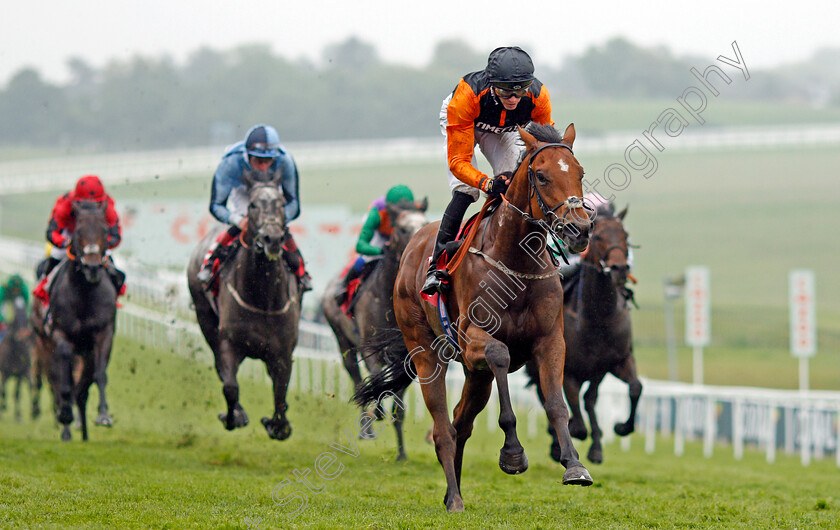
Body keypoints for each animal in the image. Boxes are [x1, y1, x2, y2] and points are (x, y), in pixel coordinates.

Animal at [44, 200, 118, 440]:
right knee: (62, 382)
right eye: (78, 231)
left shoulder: (104, 334)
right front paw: (65, 415)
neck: (84, 293)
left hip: (87, 354)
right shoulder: (60, 335)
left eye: (104, 230)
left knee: (83, 389)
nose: (92, 267)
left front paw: (103, 415)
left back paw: (83, 433)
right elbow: (64, 380)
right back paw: (67, 425)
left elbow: (100, 374)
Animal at [187, 170, 302, 442]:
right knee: (220, 367)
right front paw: (233, 417)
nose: (272, 238)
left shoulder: (283, 352)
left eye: (282, 203)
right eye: (252, 205)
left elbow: (280, 393)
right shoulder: (230, 342)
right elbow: (230, 386)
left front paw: (277, 425)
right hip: (205, 317)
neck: (263, 297)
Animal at [320, 198, 426, 458]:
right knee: (357, 378)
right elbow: (376, 378)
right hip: (342, 340)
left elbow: (398, 404)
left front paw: (401, 454)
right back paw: (366, 430)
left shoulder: (407, 354)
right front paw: (377, 410)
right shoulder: (369, 347)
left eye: (425, 222)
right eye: (402, 228)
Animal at [354, 122, 592, 508]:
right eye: (541, 176)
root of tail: (412, 246)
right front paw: (513, 454)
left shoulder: (549, 340)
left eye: (580, 173)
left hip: (474, 374)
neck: (515, 261)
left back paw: (455, 490)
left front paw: (574, 465)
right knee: (442, 428)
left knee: (459, 422)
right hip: (426, 352)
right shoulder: (472, 340)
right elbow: (500, 354)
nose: (580, 230)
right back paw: (453, 498)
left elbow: (556, 403)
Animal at [528, 205, 640, 462]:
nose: (620, 269)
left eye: (625, 236)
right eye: (598, 237)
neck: (598, 318)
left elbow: (634, 388)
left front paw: (619, 428)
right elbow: (576, 421)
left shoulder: (613, 361)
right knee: (543, 393)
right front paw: (569, 436)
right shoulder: (569, 370)